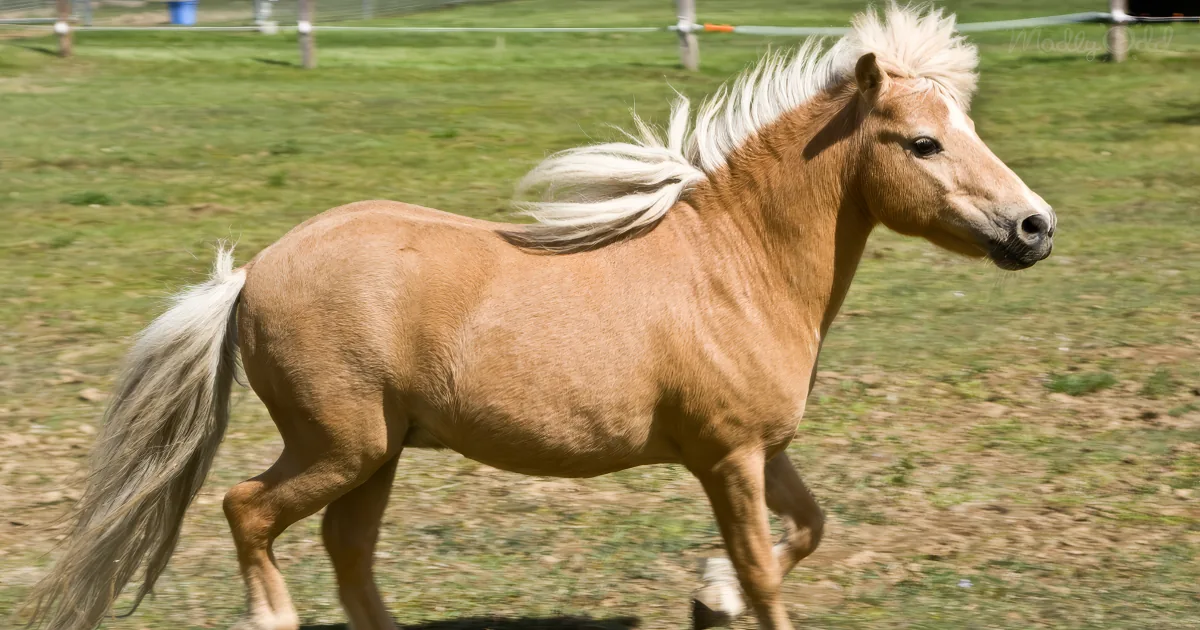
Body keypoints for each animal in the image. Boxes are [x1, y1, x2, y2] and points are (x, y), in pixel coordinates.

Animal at [22, 5, 1055, 630]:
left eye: (968, 129)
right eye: (922, 144)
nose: (1035, 228)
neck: (732, 269)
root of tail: (250, 275)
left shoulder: (763, 447)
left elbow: (808, 529)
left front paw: (707, 598)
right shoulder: (725, 456)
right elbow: (767, 565)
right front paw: (727, 595)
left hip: (376, 455)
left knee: (346, 551)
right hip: (340, 445)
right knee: (248, 510)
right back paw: (272, 617)